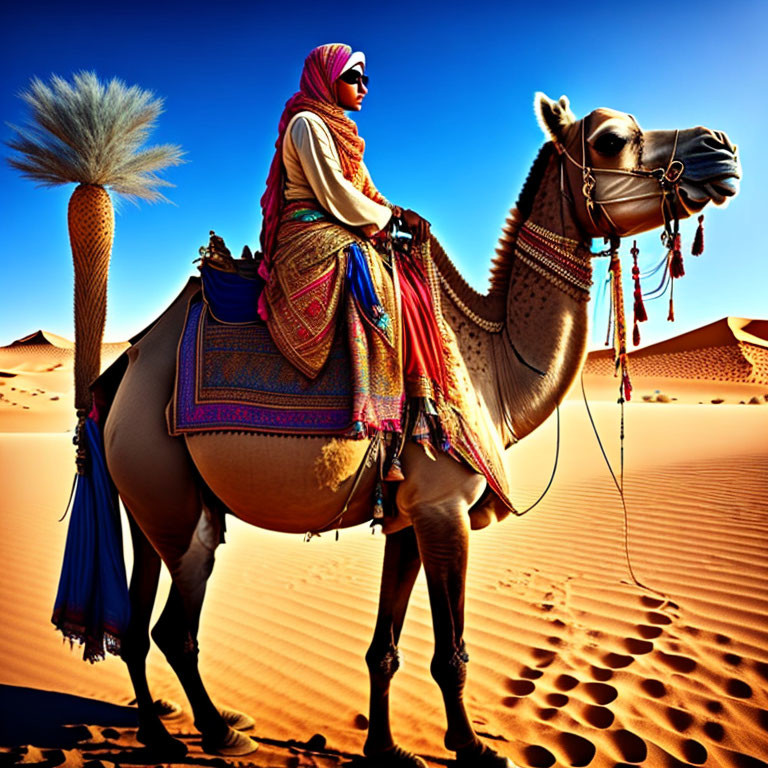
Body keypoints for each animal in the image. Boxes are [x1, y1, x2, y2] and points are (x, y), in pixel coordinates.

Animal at [102, 93, 736, 764]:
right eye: (612, 139)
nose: (720, 148)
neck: (497, 368)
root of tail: (125, 368)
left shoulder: (409, 517)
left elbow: (385, 649)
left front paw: (385, 747)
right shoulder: (444, 507)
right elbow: (449, 654)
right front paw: (472, 747)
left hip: (151, 501)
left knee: (139, 624)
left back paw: (164, 726)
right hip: (168, 491)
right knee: (174, 626)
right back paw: (217, 732)